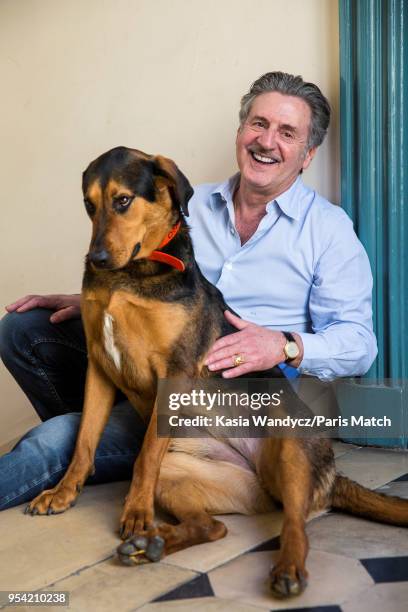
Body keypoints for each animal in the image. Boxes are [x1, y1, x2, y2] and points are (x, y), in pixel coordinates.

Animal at [26, 147, 408, 596]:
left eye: (122, 201)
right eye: (89, 205)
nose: (97, 260)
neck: (130, 275)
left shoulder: (172, 370)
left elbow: (144, 457)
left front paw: (135, 511)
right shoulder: (100, 368)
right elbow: (85, 442)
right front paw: (64, 492)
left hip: (291, 445)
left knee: (295, 525)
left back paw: (285, 569)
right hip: (178, 472)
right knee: (212, 527)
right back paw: (151, 544)